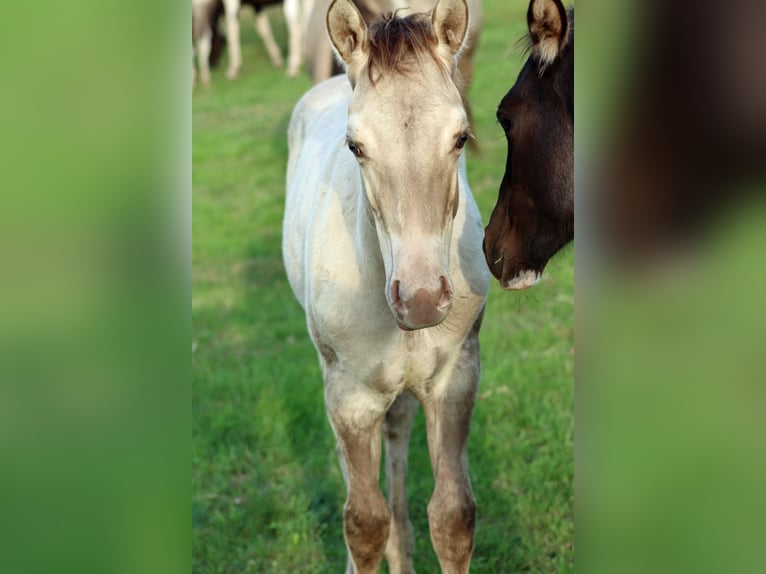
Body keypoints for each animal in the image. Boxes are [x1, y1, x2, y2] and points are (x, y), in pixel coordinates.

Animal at [282, 0, 489, 571]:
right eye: (355, 146)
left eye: (460, 137)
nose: (421, 299)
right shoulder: (350, 396)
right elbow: (363, 522)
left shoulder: (456, 378)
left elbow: (452, 516)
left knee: (396, 434)